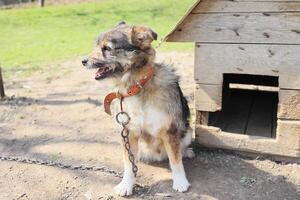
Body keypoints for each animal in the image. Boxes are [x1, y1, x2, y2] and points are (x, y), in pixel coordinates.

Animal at [82, 21, 195, 195]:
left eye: (107, 48)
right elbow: (129, 164)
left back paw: (187, 152)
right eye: (96, 45)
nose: (83, 61)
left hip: (188, 131)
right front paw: (126, 185)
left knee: (179, 150)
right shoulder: (128, 132)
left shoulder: (170, 131)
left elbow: (176, 161)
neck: (136, 87)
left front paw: (181, 182)